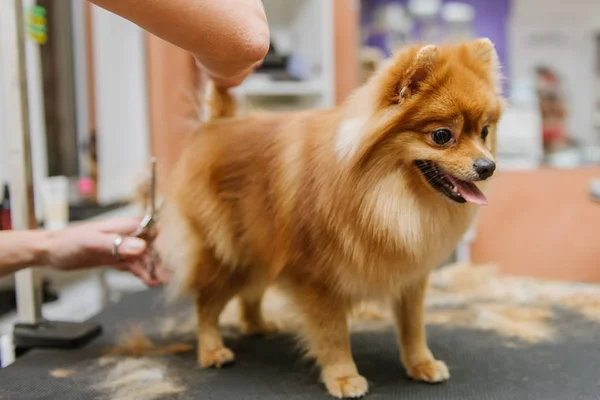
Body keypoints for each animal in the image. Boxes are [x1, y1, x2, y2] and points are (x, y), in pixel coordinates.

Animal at [158, 38, 502, 396]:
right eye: (442, 136)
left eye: (484, 132)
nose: (488, 166)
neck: (387, 196)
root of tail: (216, 124)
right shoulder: (319, 280)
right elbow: (333, 334)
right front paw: (344, 377)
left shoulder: (410, 276)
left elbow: (412, 327)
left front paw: (421, 363)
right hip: (225, 256)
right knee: (206, 303)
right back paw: (212, 350)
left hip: (257, 250)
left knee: (249, 295)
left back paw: (258, 325)